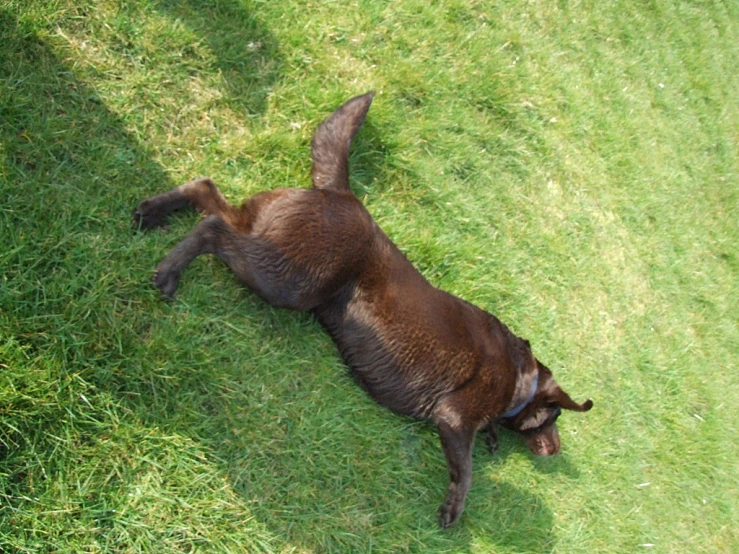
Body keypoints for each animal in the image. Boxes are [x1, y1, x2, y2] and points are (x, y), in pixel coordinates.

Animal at [136, 91, 592, 528]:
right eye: (554, 417)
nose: (554, 452)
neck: (521, 377)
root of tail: (341, 193)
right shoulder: (455, 418)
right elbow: (467, 471)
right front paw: (455, 509)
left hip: (268, 241)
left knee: (206, 190)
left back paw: (152, 211)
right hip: (290, 280)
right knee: (213, 228)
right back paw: (170, 270)